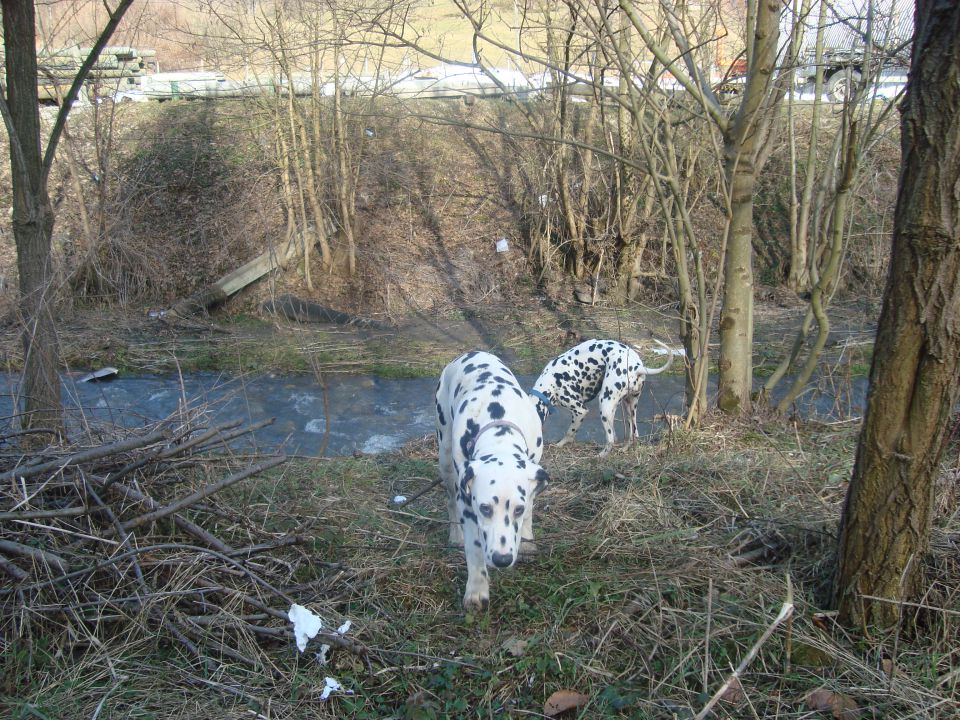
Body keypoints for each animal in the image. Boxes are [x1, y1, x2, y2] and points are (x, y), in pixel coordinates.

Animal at [436, 352, 548, 612]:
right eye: (485, 508)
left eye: (517, 509)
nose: (502, 559)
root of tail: (471, 352)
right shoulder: (468, 503)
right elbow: (474, 548)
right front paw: (477, 590)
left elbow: (529, 513)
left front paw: (527, 542)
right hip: (445, 458)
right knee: (450, 501)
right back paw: (455, 535)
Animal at [528, 338, 680, 456]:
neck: (549, 383)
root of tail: (637, 367)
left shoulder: (580, 411)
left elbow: (570, 433)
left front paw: (561, 444)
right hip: (629, 408)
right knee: (633, 434)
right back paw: (624, 449)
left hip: (605, 406)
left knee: (612, 439)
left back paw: (600, 456)